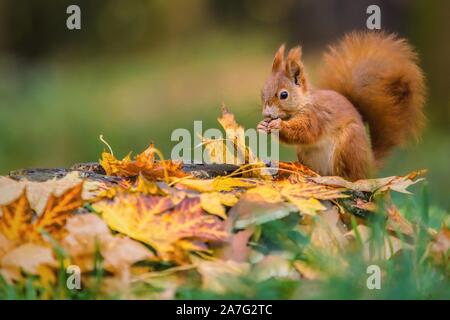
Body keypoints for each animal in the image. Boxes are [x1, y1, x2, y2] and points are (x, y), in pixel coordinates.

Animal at [256, 31, 426, 181]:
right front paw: (262, 126)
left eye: (284, 95)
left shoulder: (316, 115)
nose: (266, 113)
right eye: (262, 92)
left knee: (351, 176)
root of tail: (368, 165)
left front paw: (278, 125)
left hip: (348, 144)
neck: (302, 103)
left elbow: (306, 132)